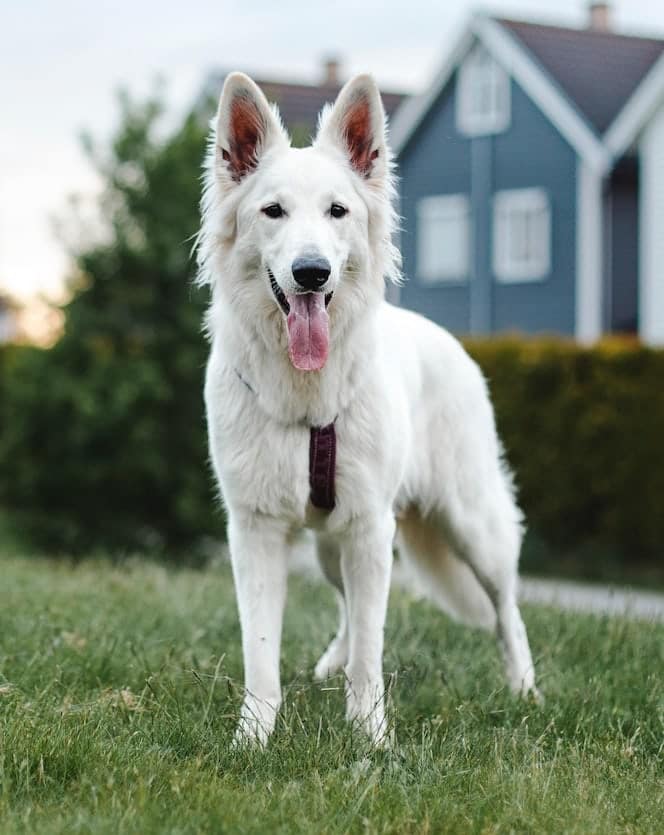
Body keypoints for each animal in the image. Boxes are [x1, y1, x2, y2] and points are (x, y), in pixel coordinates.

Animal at [198, 75, 540, 748]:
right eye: (273, 211)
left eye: (338, 211)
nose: (311, 273)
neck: (306, 394)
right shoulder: (256, 531)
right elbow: (261, 648)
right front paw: (254, 737)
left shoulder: (368, 529)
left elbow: (372, 652)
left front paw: (370, 738)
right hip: (331, 548)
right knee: (347, 608)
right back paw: (328, 662)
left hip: (472, 528)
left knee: (505, 609)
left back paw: (524, 688)